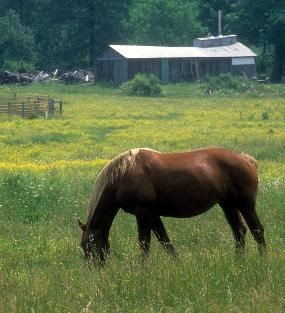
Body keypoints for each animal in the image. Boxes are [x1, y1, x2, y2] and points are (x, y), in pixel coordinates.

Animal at [77, 146, 264, 260]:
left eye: (89, 245)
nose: (93, 270)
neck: (125, 172)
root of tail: (246, 159)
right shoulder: (153, 214)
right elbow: (165, 241)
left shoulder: (143, 212)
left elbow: (144, 243)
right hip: (228, 205)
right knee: (239, 232)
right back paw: (238, 262)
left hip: (246, 206)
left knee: (257, 231)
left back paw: (262, 261)